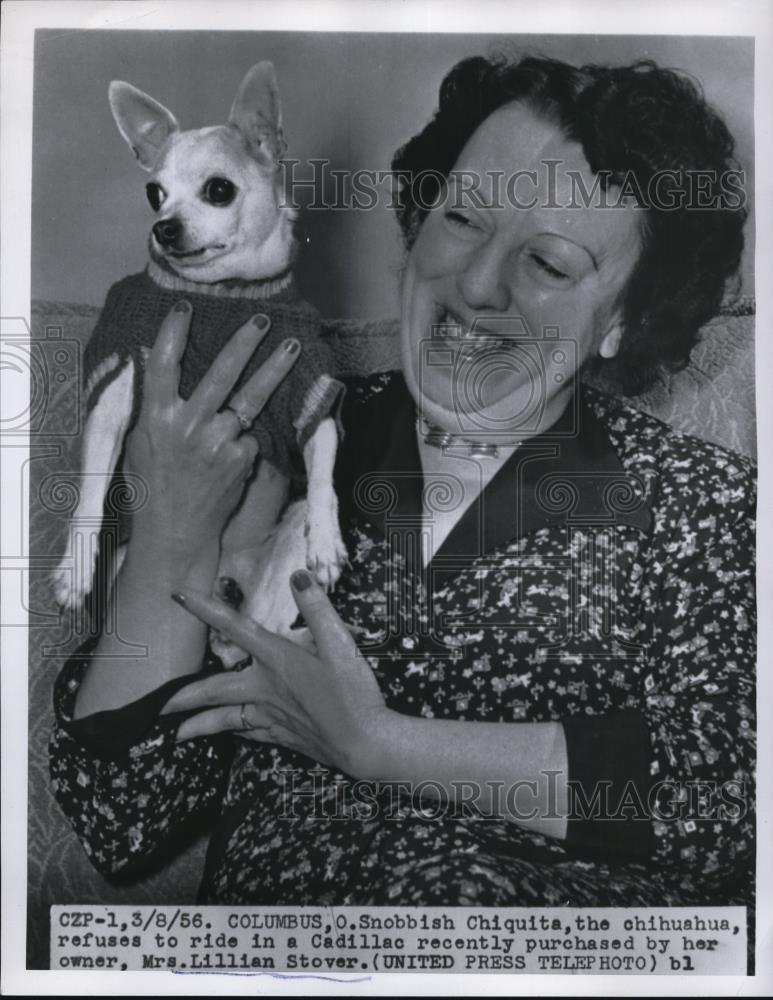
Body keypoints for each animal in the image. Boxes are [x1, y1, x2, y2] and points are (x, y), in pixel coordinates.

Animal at [51, 58, 346, 660]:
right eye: (153, 193)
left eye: (218, 190)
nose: (163, 227)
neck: (224, 296)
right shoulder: (118, 376)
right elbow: (90, 486)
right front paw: (74, 567)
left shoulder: (309, 378)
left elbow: (322, 464)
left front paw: (328, 540)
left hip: (280, 564)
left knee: (264, 631)